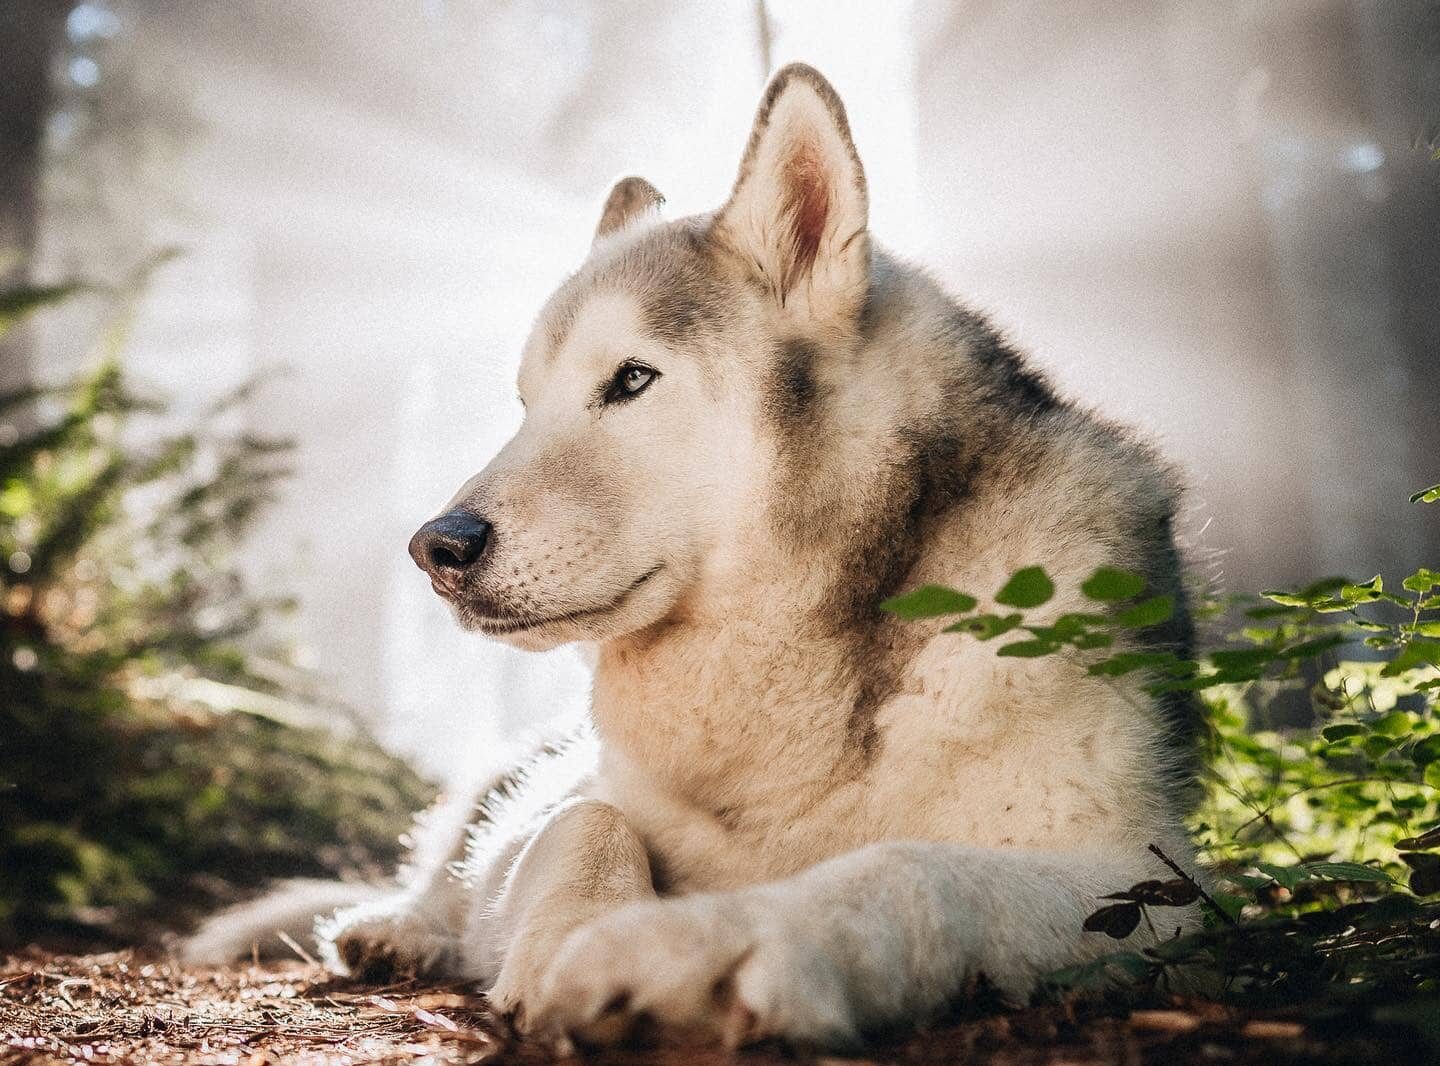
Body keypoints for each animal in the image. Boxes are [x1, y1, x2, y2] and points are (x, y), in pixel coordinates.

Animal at [188, 64, 1203, 1048]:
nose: (435, 545)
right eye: (526, 405)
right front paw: (562, 942)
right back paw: (395, 930)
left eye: (632, 379)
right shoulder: (581, 794)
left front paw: (697, 951)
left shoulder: (1141, 883)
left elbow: (909, 869)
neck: (793, 673)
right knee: (444, 872)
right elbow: (586, 821)